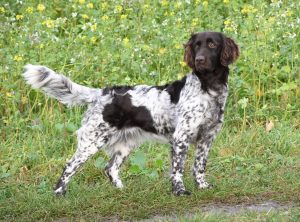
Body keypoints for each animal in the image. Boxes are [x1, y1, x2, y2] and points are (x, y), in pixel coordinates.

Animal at [22, 31, 239, 196]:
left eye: (212, 44)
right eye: (196, 46)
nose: (199, 60)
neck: (208, 89)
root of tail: (101, 93)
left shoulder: (207, 138)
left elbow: (199, 166)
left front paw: (203, 186)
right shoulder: (180, 138)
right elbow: (178, 170)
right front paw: (179, 192)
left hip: (124, 145)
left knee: (110, 169)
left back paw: (121, 190)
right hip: (91, 142)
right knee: (69, 165)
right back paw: (59, 193)